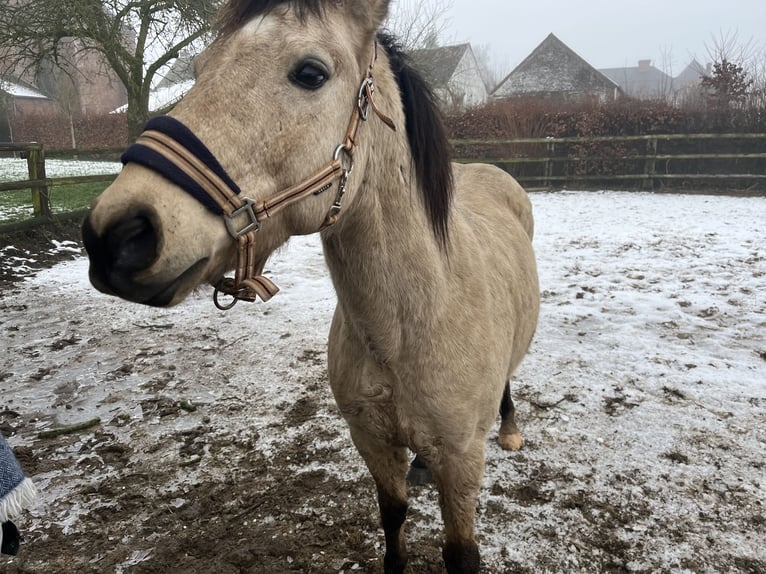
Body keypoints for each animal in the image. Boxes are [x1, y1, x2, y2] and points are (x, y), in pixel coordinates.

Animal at [81, 2, 544, 572]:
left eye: (310, 74)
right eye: (200, 68)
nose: (117, 235)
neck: (408, 326)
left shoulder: (461, 461)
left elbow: (461, 553)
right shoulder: (371, 442)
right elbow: (393, 520)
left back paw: (510, 428)